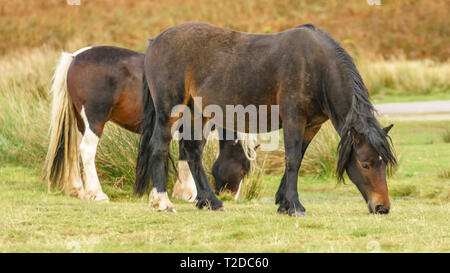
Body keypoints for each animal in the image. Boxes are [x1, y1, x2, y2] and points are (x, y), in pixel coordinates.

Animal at [44, 45, 255, 202]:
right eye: (243, 169)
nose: (231, 196)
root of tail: (75, 56)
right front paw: (189, 193)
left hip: (80, 122)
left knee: (72, 150)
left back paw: (77, 190)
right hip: (95, 120)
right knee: (86, 151)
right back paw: (97, 193)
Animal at [135, 22, 396, 216]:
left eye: (384, 163)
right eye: (365, 164)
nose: (382, 207)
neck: (316, 66)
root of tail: (155, 42)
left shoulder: (312, 125)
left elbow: (298, 158)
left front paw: (283, 202)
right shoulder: (293, 119)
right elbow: (292, 159)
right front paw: (294, 206)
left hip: (197, 113)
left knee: (193, 152)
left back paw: (210, 202)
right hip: (170, 111)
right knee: (159, 148)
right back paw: (163, 202)